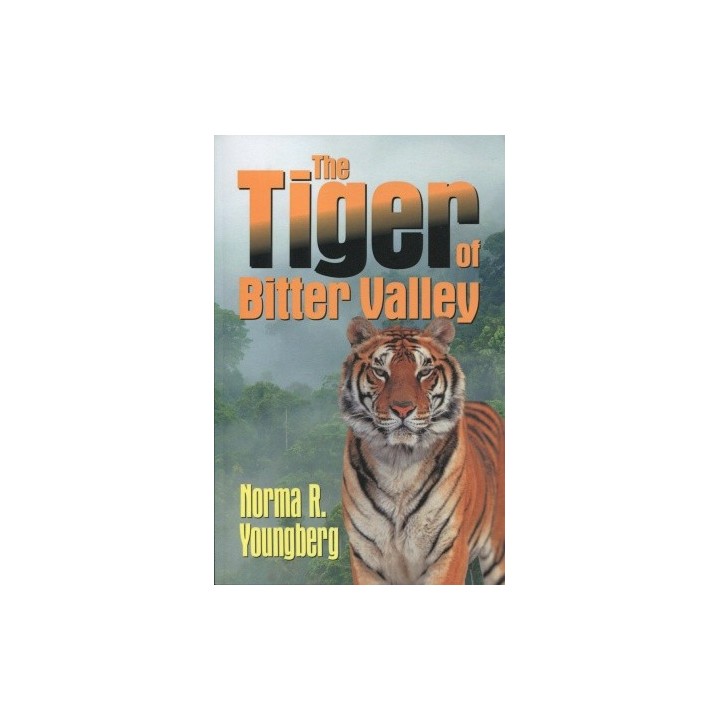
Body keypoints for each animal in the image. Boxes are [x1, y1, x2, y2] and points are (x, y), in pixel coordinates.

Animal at [339, 316, 504, 585]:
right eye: (380, 372)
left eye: (424, 372)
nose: (403, 409)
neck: (398, 463)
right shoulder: (366, 556)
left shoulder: (448, 549)